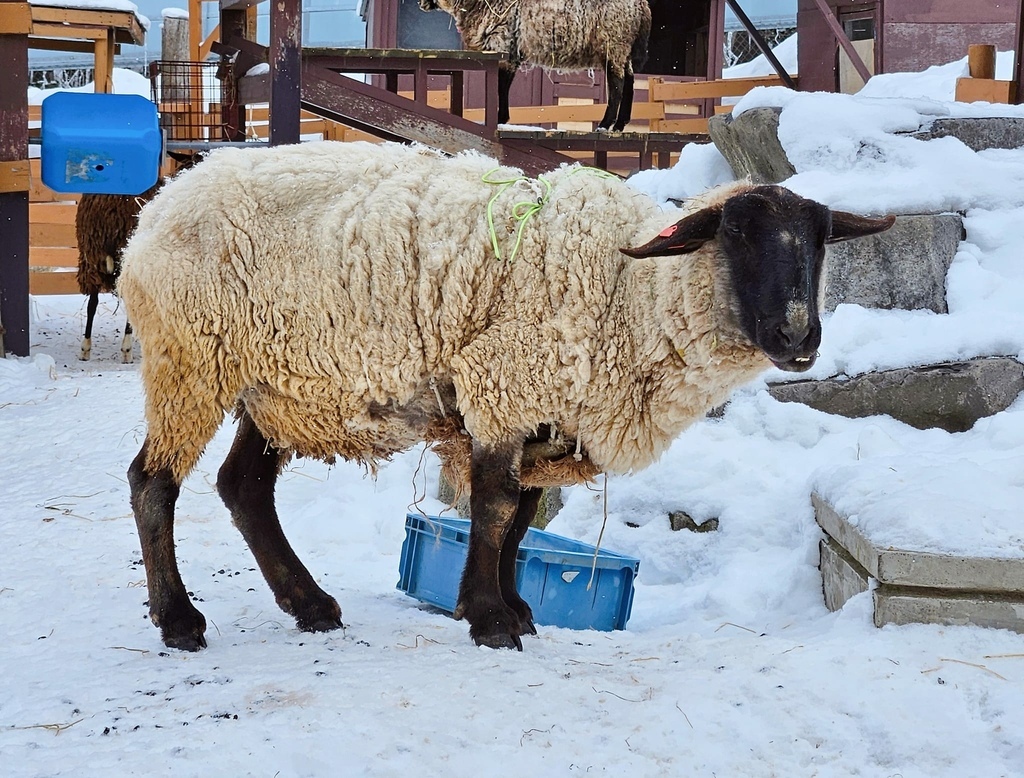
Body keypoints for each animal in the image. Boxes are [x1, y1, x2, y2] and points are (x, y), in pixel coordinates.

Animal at [116, 140, 892, 651]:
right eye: (737, 234)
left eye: (821, 242)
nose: (799, 336)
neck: (631, 293)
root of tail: (156, 210)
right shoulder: (504, 382)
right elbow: (493, 509)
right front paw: (488, 618)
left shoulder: (542, 411)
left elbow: (521, 520)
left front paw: (515, 608)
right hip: (192, 362)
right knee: (153, 481)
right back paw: (179, 620)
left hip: (275, 382)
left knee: (244, 487)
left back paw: (310, 605)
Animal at [415, 0, 647, 131]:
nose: (419, 3)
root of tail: (641, 5)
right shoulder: (510, 49)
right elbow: (504, 84)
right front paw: (502, 118)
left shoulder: (502, 40)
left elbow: (501, 86)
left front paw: (500, 118)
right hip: (623, 46)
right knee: (630, 80)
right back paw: (620, 124)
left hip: (613, 40)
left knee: (617, 83)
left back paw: (605, 125)